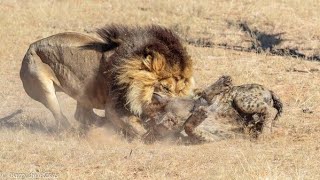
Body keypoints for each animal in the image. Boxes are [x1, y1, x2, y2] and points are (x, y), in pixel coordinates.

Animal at [20, 24, 195, 136]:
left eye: (180, 90)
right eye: (165, 88)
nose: (178, 107)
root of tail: (31, 46)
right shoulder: (114, 106)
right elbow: (133, 124)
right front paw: (152, 136)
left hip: (85, 93)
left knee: (83, 115)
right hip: (43, 87)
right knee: (61, 117)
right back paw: (73, 132)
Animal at [141, 75, 282, 143]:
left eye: (158, 116)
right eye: (158, 125)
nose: (167, 121)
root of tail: (269, 90)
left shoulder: (206, 101)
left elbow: (206, 93)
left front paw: (224, 81)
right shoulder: (212, 137)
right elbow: (189, 128)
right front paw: (198, 115)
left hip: (242, 100)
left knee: (271, 110)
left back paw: (264, 133)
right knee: (267, 114)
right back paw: (262, 131)